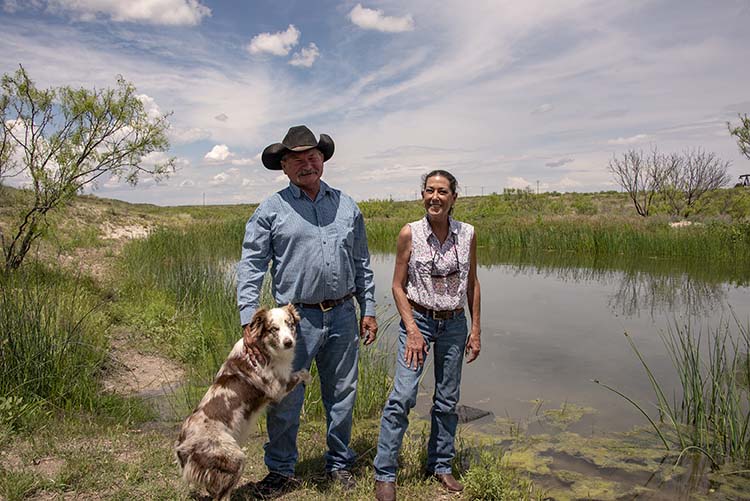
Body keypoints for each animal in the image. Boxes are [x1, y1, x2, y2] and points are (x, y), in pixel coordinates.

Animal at [175, 302, 310, 498]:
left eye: (290, 324)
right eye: (274, 329)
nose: (288, 342)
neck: (265, 348)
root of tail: (182, 445)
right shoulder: (277, 388)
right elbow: (300, 373)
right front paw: (308, 377)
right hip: (235, 458)